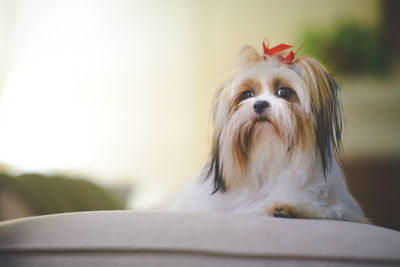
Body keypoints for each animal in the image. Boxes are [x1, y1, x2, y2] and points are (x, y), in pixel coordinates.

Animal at [170, 40, 370, 224]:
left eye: (283, 92)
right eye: (247, 94)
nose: (259, 104)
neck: (269, 153)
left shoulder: (337, 207)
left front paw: (286, 207)